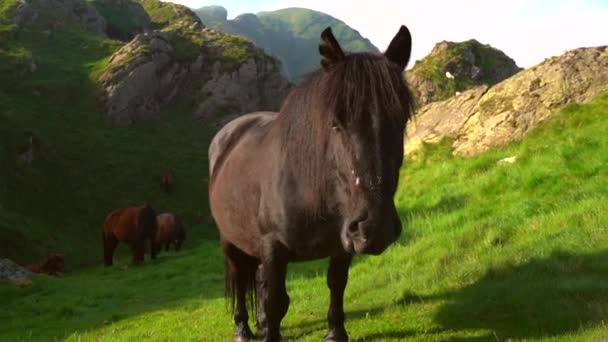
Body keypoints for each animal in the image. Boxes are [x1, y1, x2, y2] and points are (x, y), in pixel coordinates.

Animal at [208, 26, 414, 342]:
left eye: (401, 119)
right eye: (335, 122)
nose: (375, 228)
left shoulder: (342, 243)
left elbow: (336, 285)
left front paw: (335, 332)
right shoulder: (273, 247)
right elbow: (276, 300)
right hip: (230, 241)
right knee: (241, 281)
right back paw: (242, 328)